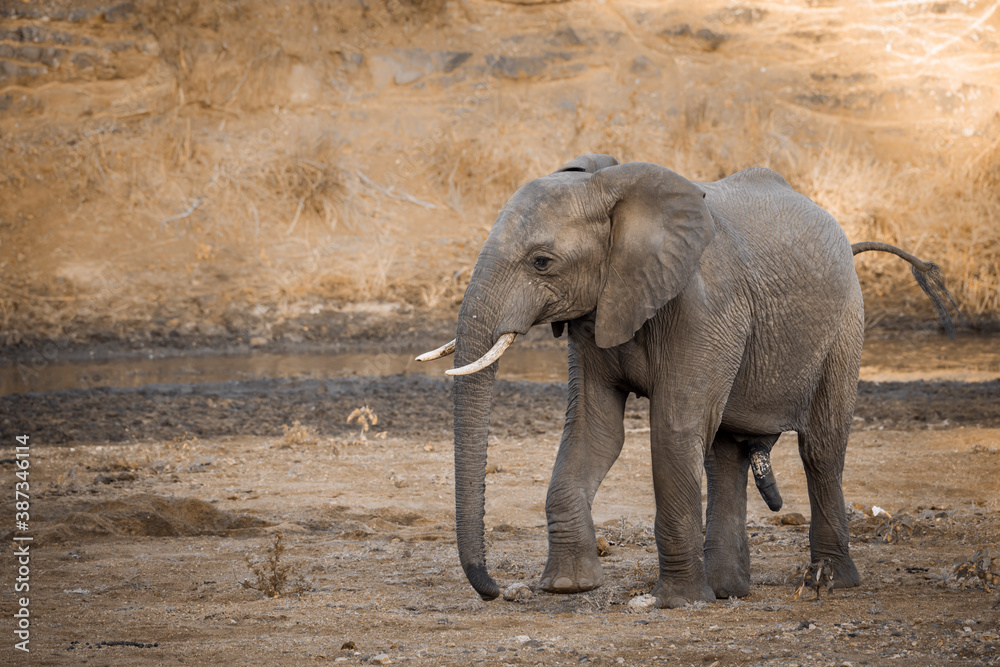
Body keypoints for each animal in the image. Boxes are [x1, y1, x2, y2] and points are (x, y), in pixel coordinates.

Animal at [417, 154, 958, 608]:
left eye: (541, 262)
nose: (495, 590)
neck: (615, 189)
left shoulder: (706, 307)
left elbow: (674, 429)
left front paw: (675, 602)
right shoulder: (599, 311)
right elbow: (595, 431)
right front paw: (569, 587)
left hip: (846, 324)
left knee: (821, 449)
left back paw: (827, 583)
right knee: (726, 454)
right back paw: (727, 591)